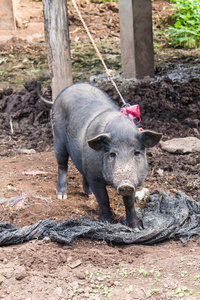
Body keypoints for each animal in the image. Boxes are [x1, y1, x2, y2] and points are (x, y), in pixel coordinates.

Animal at [52, 82, 162, 227]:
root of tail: (72, 86)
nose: (125, 184)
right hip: (58, 137)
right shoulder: (95, 178)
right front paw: (107, 223)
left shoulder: (134, 181)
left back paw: (89, 194)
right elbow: (103, 199)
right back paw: (62, 196)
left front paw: (136, 227)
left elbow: (130, 204)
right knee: (62, 165)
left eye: (137, 152)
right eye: (112, 154)